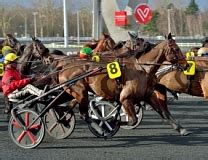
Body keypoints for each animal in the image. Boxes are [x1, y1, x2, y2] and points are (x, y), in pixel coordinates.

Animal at [56, 33, 189, 136]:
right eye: (176, 49)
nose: (187, 65)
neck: (141, 69)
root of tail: (63, 68)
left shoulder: (148, 96)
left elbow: (164, 113)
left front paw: (181, 129)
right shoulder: (125, 98)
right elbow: (132, 120)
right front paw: (111, 122)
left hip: (75, 93)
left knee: (69, 106)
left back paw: (62, 120)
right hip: (80, 91)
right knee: (83, 114)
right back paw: (100, 128)